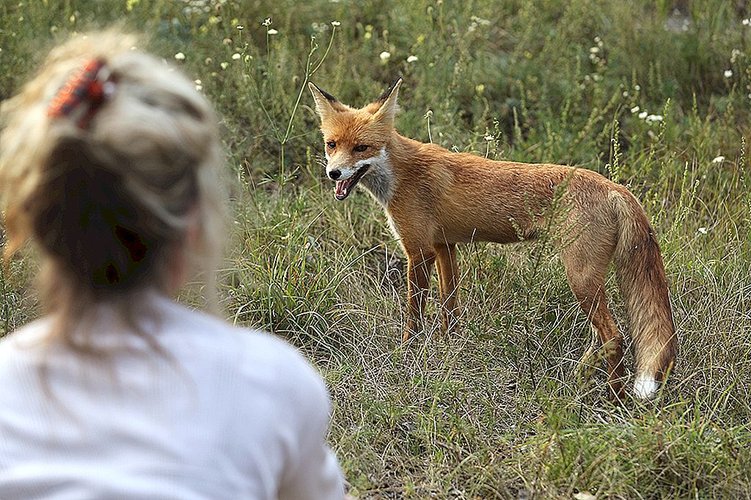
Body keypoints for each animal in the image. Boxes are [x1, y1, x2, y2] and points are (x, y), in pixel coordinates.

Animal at [308, 79, 680, 398]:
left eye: (361, 148)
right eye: (331, 144)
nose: (333, 173)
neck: (401, 174)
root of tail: (615, 187)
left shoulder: (418, 251)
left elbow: (414, 317)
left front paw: (406, 355)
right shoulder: (445, 247)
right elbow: (450, 311)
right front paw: (451, 351)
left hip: (580, 278)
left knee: (615, 337)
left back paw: (613, 398)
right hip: (585, 284)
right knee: (600, 338)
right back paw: (580, 378)